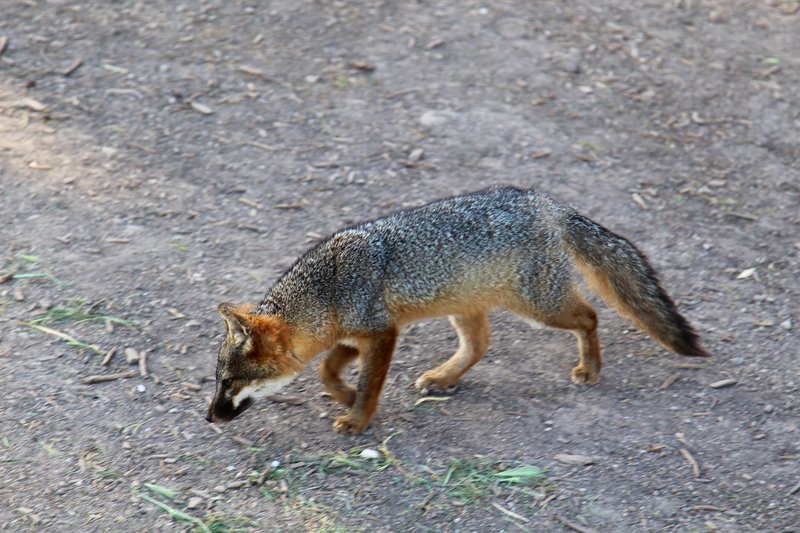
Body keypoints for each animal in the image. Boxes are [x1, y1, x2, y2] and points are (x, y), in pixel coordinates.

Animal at [205, 186, 708, 432]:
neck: (329, 289)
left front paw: (359, 417)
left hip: (540, 305)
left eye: (229, 383)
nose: (209, 417)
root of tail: (547, 203)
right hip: (466, 307)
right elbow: (328, 372)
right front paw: (346, 396)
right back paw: (444, 378)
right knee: (481, 344)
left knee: (589, 316)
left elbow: (368, 382)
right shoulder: (355, 334)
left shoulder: (382, 333)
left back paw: (591, 367)